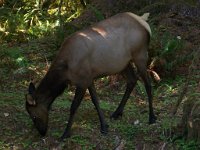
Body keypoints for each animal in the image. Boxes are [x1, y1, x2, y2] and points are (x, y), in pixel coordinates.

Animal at [25, 11, 156, 139]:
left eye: (33, 116)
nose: (42, 132)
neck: (65, 71)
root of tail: (143, 20)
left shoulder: (82, 80)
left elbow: (74, 106)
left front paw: (65, 133)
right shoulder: (89, 78)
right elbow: (95, 101)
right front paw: (104, 127)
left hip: (140, 54)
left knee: (148, 84)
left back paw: (152, 118)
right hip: (124, 63)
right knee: (132, 80)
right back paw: (116, 113)